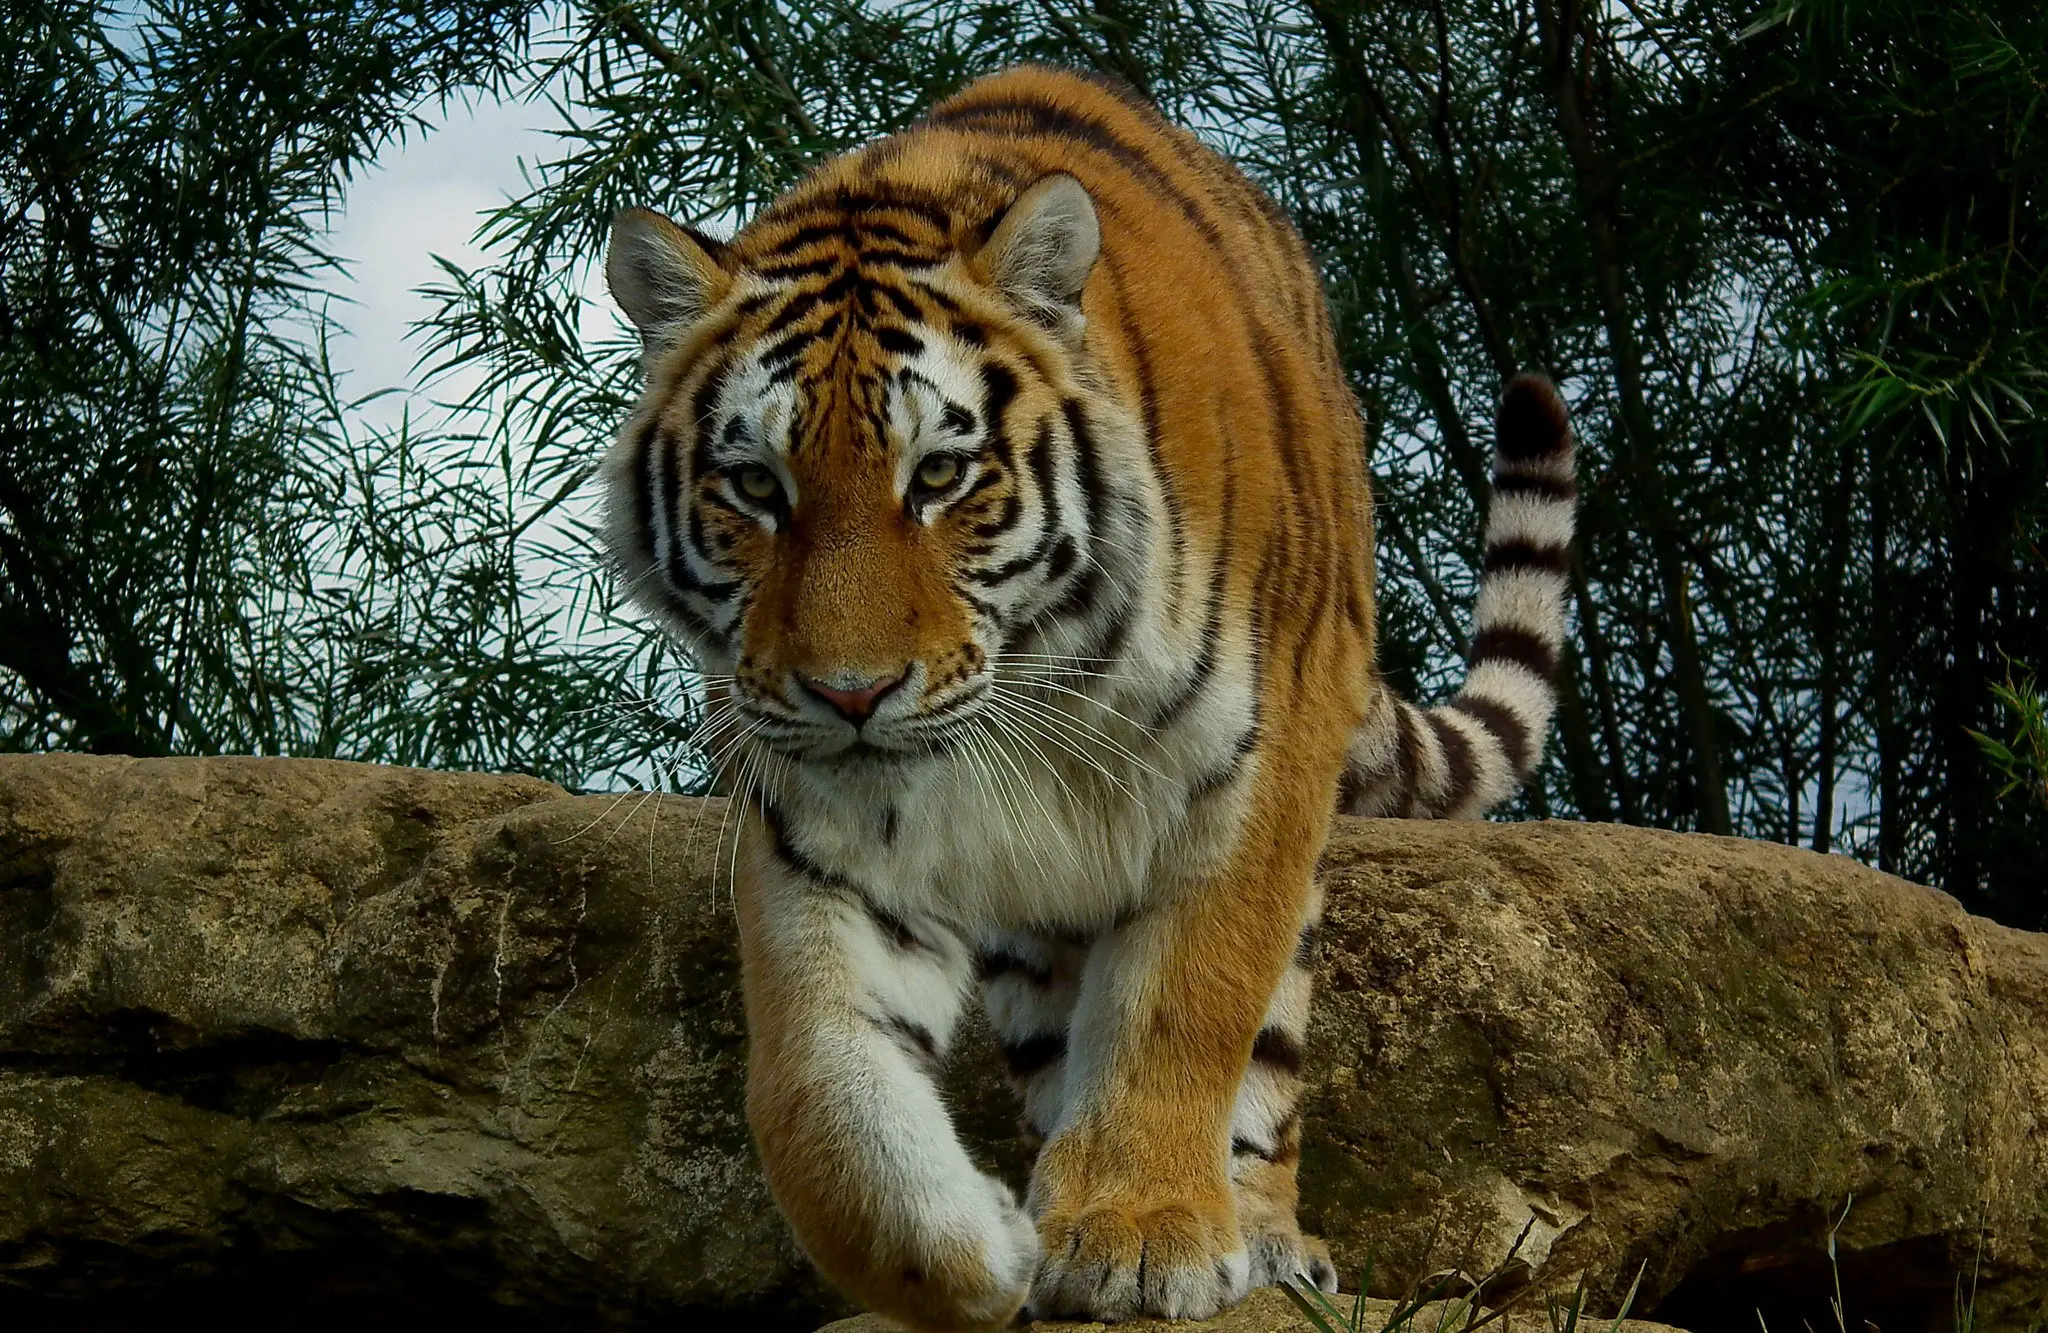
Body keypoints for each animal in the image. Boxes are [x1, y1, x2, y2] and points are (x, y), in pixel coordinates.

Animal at [600, 65, 1575, 1330]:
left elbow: (1185, 1003)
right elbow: (818, 1092)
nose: (850, 693)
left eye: (939, 475)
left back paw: (1264, 1236)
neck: (1035, 677)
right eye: (756, 488)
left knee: (1264, 1051)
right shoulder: (819, 827)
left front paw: (1136, 1231)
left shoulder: (1249, 779)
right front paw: (973, 1255)